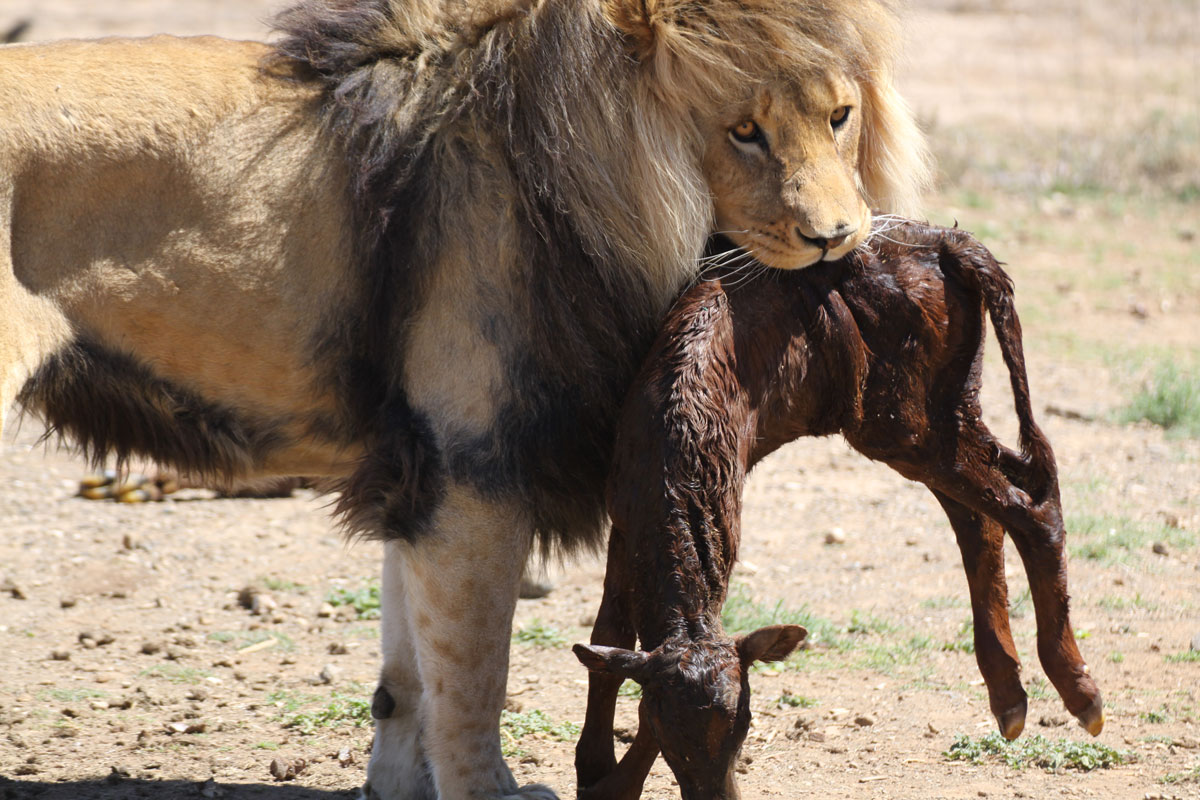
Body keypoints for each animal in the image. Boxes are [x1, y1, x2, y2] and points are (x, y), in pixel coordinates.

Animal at [2, 0, 926, 796]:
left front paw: (397, 786)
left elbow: (408, 670)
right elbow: (476, 676)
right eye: (743, 131)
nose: (838, 238)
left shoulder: (421, 472)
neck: (574, 178)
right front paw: (488, 790)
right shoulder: (474, 470)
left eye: (840, 117)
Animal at [571, 219, 1104, 800]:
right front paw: (593, 768)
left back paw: (1079, 691)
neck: (676, 442)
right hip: (940, 414)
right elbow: (608, 638)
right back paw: (1008, 695)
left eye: (745, 724)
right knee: (989, 512)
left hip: (908, 426)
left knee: (1029, 509)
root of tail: (946, 242)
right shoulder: (624, 524)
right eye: (670, 740)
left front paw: (611, 781)